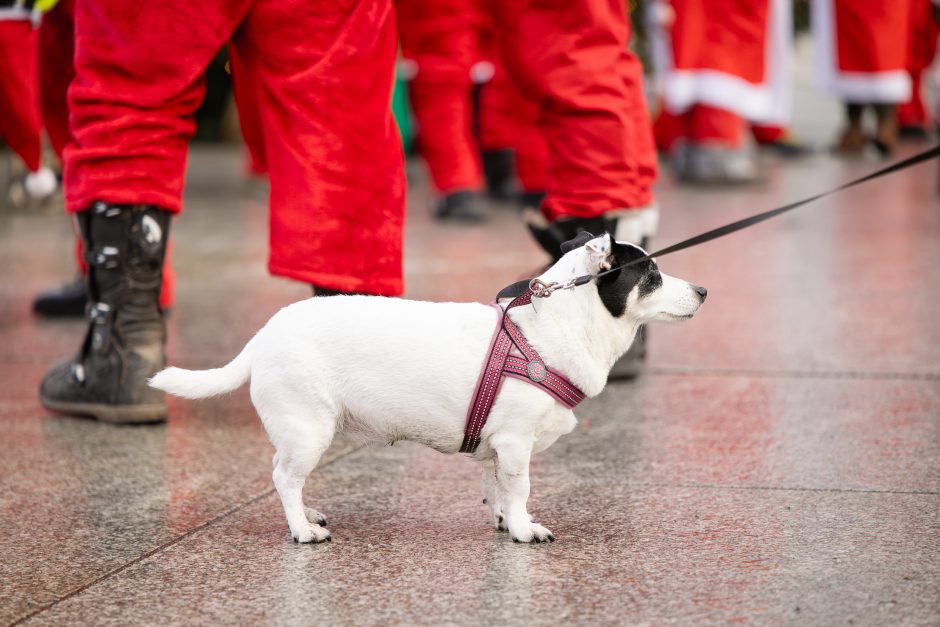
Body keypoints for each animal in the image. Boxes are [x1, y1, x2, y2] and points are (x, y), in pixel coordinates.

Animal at [149, 234, 704, 544]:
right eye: (651, 273)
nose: (702, 289)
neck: (548, 328)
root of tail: (263, 336)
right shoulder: (516, 443)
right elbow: (520, 487)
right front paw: (524, 528)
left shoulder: (496, 448)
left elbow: (498, 487)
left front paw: (504, 520)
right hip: (309, 430)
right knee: (284, 478)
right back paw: (302, 530)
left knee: (288, 477)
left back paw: (305, 514)